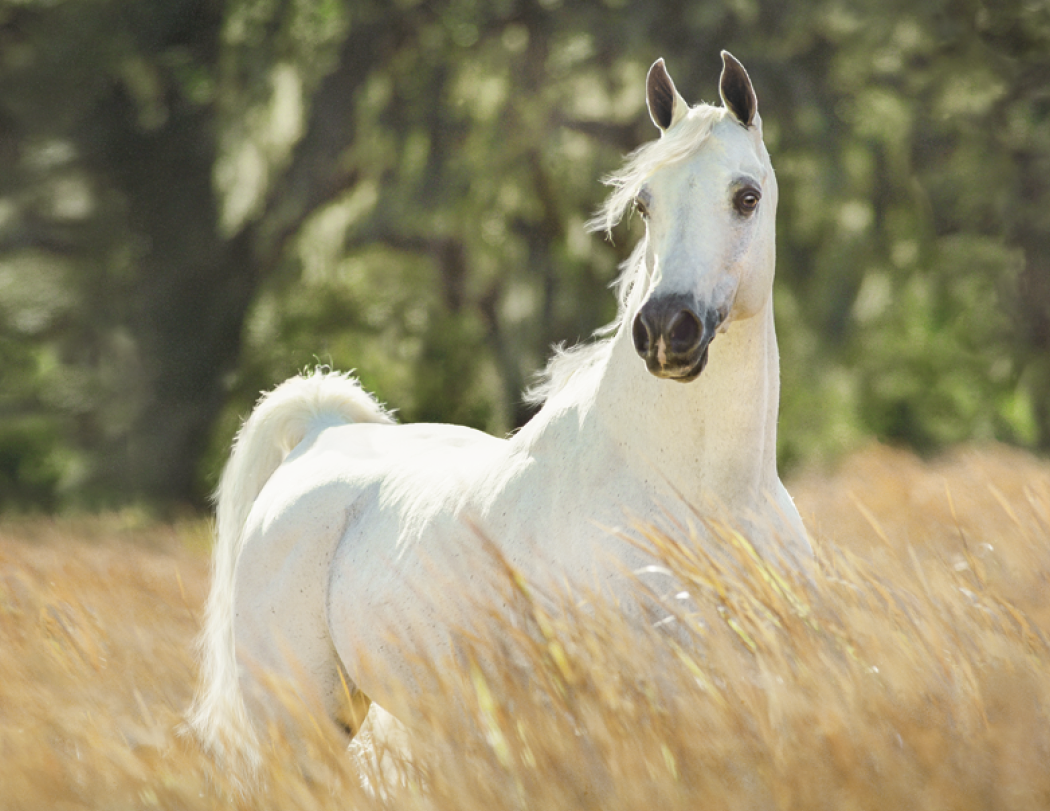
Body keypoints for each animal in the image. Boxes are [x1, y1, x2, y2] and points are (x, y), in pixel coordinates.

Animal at [189, 51, 812, 761]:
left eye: (746, 197)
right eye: (645, 203)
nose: (664, 330)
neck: (703, 494)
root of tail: (317, 437)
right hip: (302, 731)